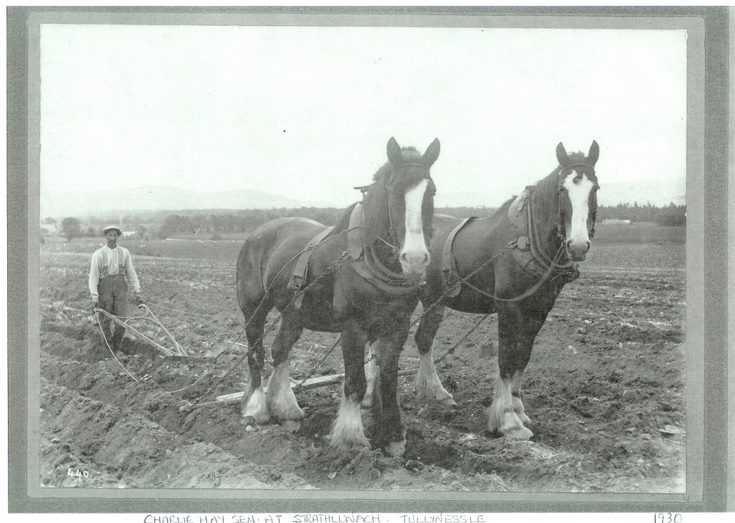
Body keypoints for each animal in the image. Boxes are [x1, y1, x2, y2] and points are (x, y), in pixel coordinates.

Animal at [239, 137, 440, 456]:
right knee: (255, 353)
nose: (416, 258)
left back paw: (287, 410)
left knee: (280, 350)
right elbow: (356, 382)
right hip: (253, 308)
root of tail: (257, 232)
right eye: (393, 190)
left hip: (294, 314)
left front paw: (393, 436)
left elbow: (389, 381)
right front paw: (351, 437)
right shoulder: (353, 328)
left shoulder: (397, 327)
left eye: (430, 191)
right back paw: (257, 408)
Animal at [414, 141, 600, 440]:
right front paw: (507, 420)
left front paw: (518, 409)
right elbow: (506, 358)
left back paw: (435, 393)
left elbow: (522, 357)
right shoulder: (509, 306)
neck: (527, 240)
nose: (579, 245)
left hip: (434, 301)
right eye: (562, 190)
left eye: (595, 188)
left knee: (423, 340)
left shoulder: (538, 310)